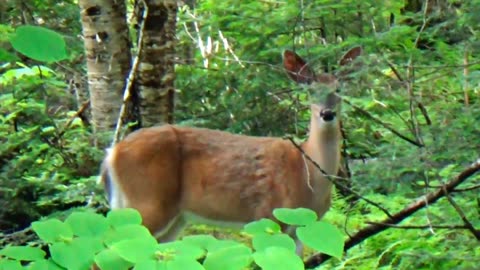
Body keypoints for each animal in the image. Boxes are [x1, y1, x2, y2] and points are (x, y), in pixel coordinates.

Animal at [98, 45, 360, 254]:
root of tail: (112, 153)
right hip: (146, 202)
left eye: (339, 89)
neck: (308, 172)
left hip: (171, 219)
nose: (327, 114)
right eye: (310, 90)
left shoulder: (299, 230)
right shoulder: (268, 214)